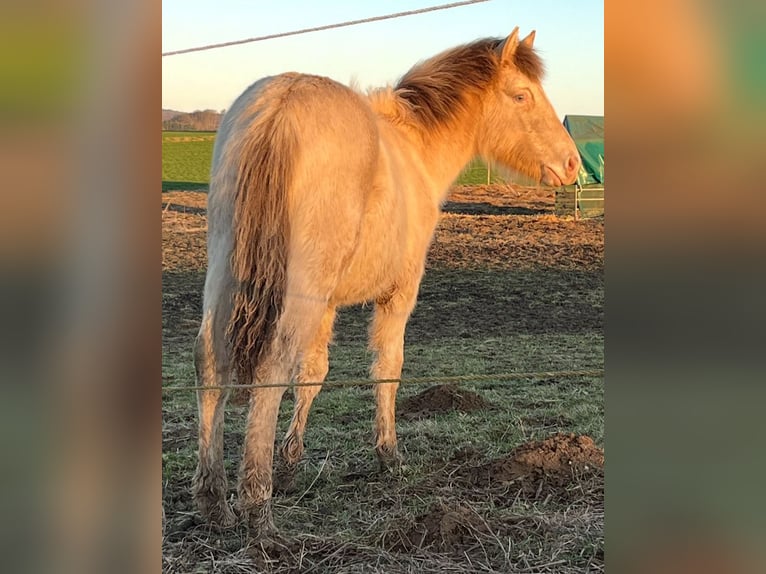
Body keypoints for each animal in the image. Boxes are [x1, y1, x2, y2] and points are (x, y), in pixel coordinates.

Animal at [194, 28, 584, 540]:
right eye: (522, 95)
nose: (573, 163)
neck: (415, 149)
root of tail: (282, 104)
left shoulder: (328, 305)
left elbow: (313, 374)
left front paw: (292, 462)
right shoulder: (397, 295)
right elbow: (387, 367)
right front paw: (388, 455)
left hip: (226, 272)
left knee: (210, 364)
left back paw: (214, 502)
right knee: (270, 369)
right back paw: (257, 509)